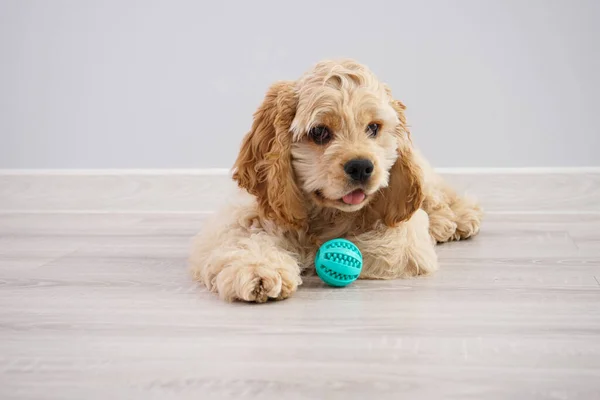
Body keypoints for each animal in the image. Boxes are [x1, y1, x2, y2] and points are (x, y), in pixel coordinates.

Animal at [192, 58, 482, 304]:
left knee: (433, 191)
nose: (361, 166)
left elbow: (390, 243)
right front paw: (259, 271)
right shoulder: (244, 214)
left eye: (373, 128)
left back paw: (455, 218)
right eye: (319, 132)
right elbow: (241, 239)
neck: (325, 214)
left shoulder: (406, 238)